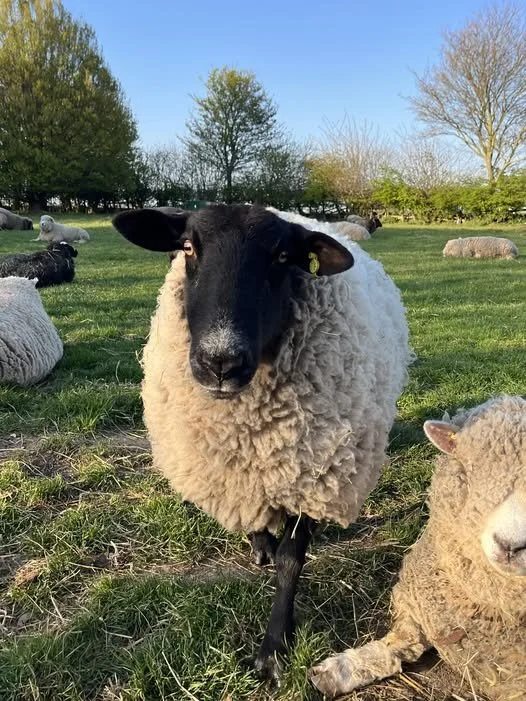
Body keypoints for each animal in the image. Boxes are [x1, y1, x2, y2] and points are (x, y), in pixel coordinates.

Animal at [112, 204, 413, 680]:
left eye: (282, 258)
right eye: (187, 246)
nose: (220, 362)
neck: (250, 431)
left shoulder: (314, 474)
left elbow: (292, 559)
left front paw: (274, 648)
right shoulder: (235, 469)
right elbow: (253, 518)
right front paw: (261, 546)